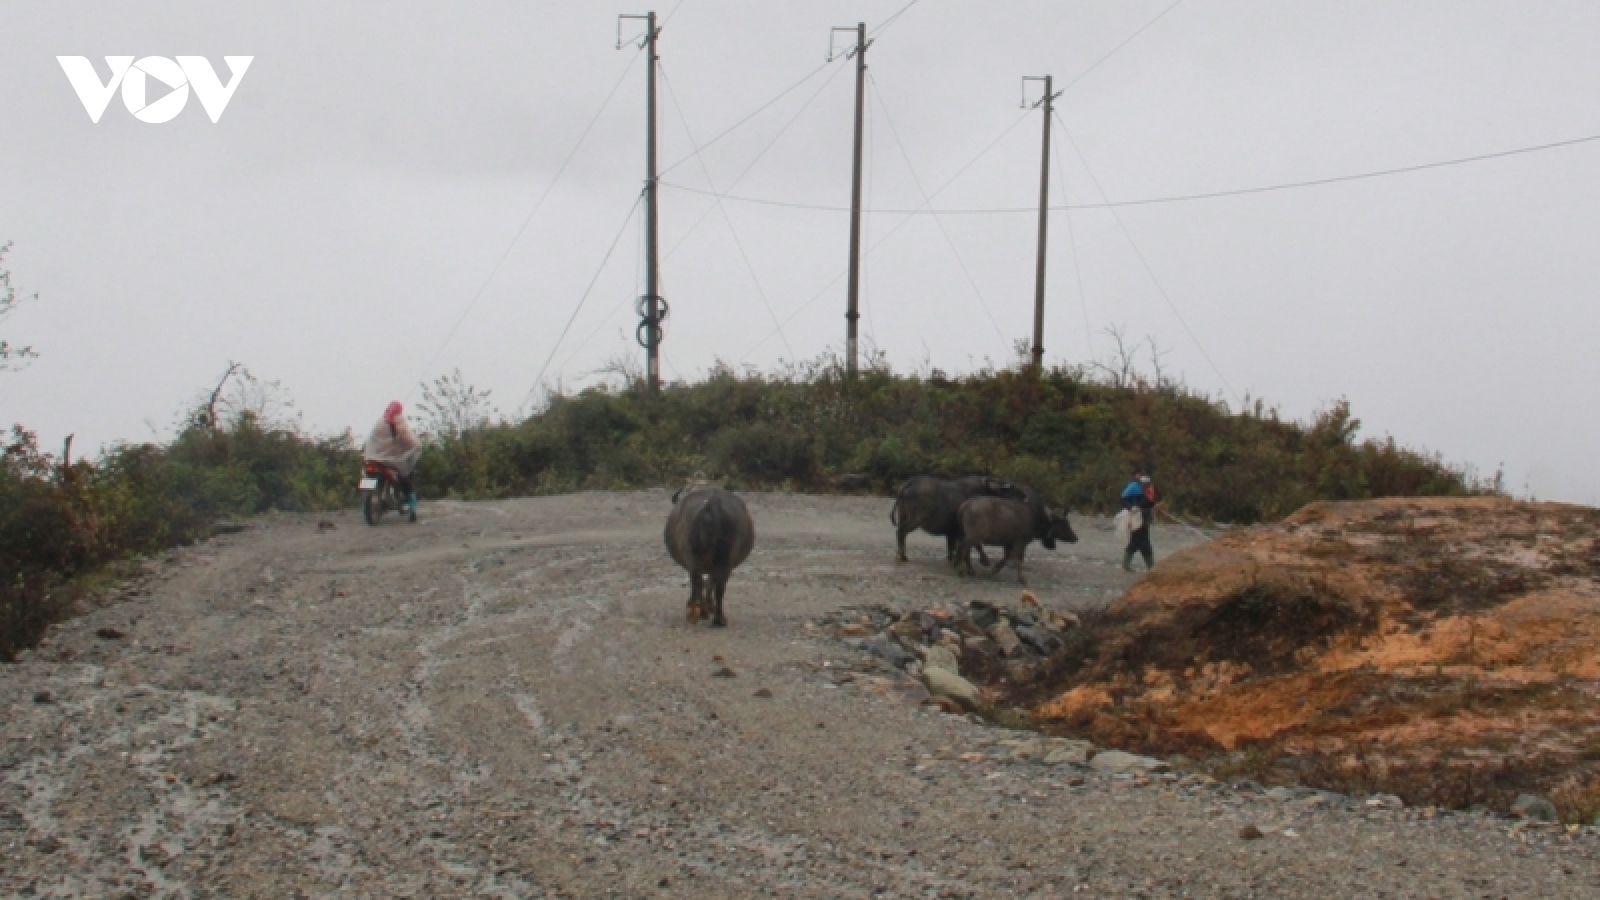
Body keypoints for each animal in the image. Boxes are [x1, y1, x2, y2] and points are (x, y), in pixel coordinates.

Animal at [668, 483, 755, 624]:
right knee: (719, 585)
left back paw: (699, 612)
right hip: (724, 559)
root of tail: (713, 504)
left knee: (698, 581)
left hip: (694, 556)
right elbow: (710, 582)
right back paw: (718, 618)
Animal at [889, 474, 1024, 557]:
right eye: (1011, 488)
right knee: (901, 532)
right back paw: (903, 555)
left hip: (903, 515)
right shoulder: (965, 531)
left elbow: (951, 547)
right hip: (915, 519)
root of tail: (908, 484)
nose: (1025, 496)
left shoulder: (952, 532)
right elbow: (977, 546)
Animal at [953, 493, 1081, 586]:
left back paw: (964, 568)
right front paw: (1021, 579)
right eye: (1064, 524)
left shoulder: (1008, 542)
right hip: (975, 535)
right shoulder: (1021, 541)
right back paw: (960, 570)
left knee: (962, 548)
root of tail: (964, 506)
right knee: (963, 548)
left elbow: (1007, 556)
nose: (1075, 538)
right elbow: (1017, 559)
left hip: (964, 534)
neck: (1037, 522)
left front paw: (995, 569)